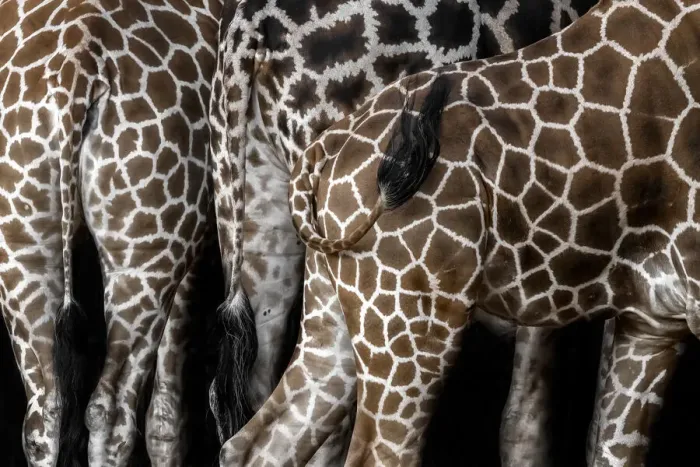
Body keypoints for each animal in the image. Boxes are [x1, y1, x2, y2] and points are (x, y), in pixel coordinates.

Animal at [0, 1, 236, 466]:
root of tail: (79, 63)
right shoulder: (194, 240)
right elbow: (168, 416)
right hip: (147, 255)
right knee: (112, 412)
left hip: (22, 247)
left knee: (44, 413)